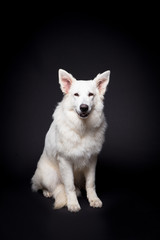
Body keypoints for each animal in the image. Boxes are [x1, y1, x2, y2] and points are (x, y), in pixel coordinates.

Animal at [31, 69, 110, 212]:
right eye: (76, 95)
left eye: (91, 94)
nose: (84, 107)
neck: (82, 129)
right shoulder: (65, 161)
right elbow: (69, 186)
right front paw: (72, 203)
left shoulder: (92, 160)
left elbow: (91, 183)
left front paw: (93, 199)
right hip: (48, 175)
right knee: (44, 186)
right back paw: (47, 192)